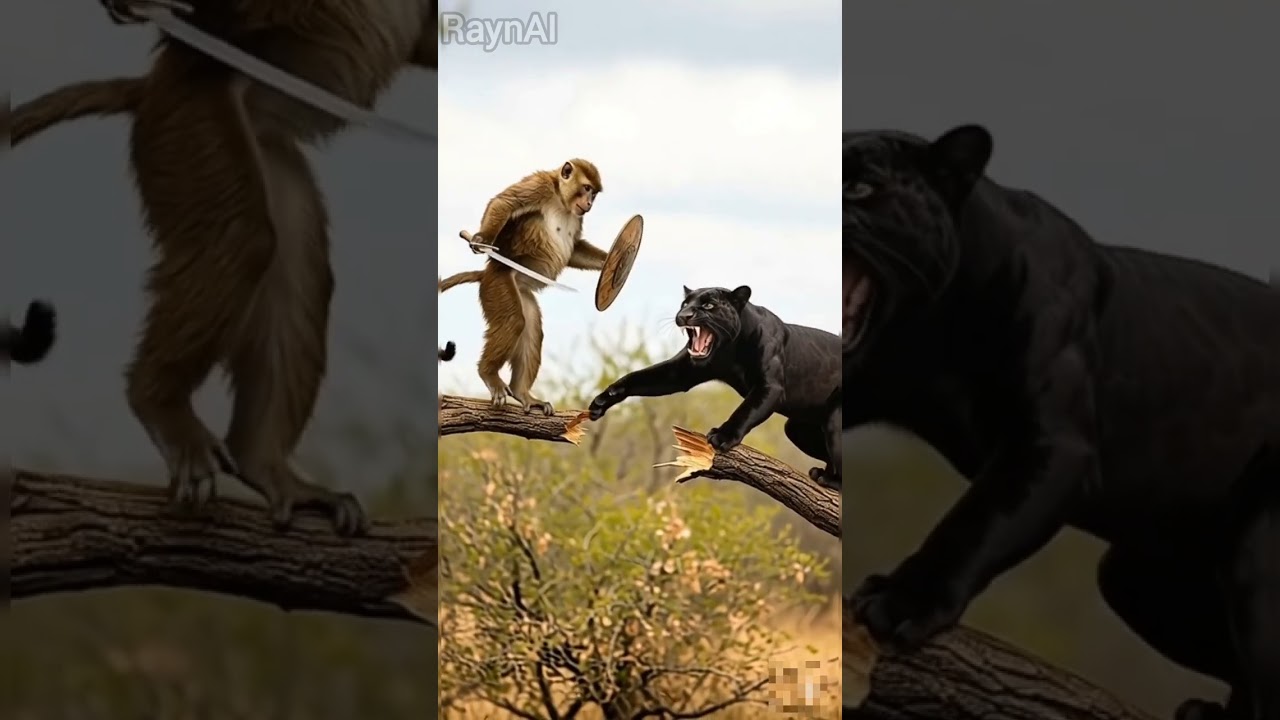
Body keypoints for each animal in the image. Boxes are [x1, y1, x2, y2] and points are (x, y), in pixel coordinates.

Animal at [9, 0, 439, 535]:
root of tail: (149, 87)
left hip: (261, 142)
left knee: (295, 269)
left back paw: (262, 460)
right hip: (189, 118)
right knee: (242, 236)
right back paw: (160, 403)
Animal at [438, 160, 608, 415]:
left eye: (594, 193)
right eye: (587, 188)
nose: (589, 203)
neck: (560, 198)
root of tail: (487, 273)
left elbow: (575, 248)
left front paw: (612, 260)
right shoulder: (539, 186)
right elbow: (505, 202)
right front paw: (482, 238)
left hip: (522, 292)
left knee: (531, 328)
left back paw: (521, 392)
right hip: (498, 283)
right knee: (513, 321)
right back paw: (488, 374)